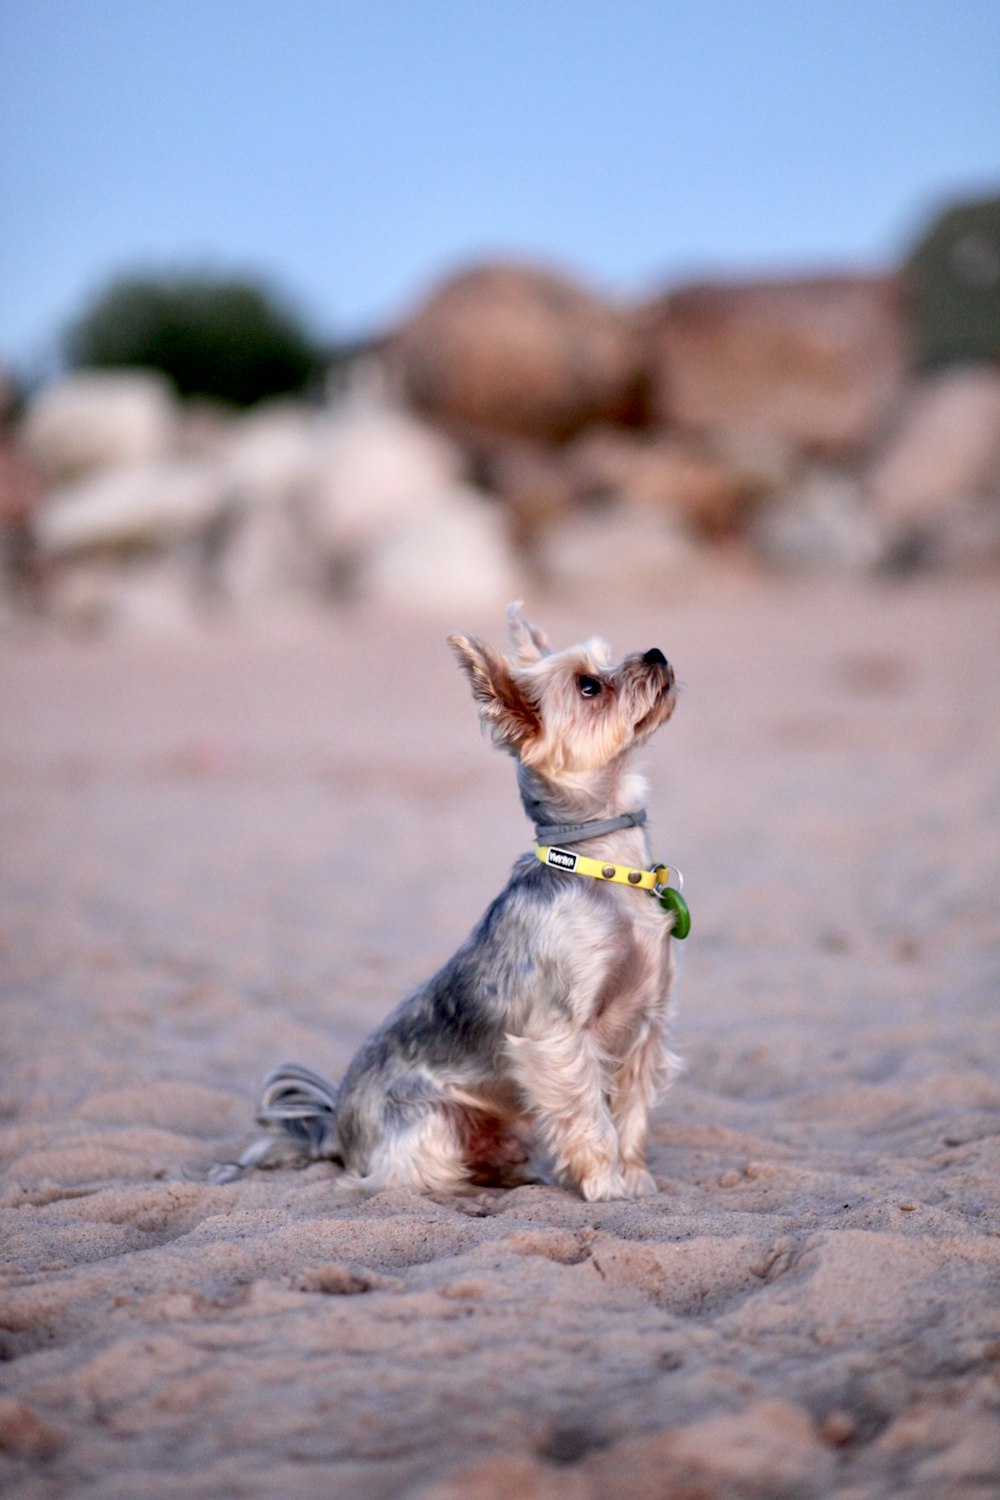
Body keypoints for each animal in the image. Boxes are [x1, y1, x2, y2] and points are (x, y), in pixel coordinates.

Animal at [223, 603, 683, 1200]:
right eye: (589, 686)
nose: (656, 653)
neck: (599, 866)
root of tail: (337, 1130)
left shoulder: (646, 1023)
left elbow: (632, 1114)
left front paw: (636, 1179)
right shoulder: (560, 1038)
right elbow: (591, 1119)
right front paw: (605, 1185)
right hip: (432, 1125)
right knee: (406, 1176)